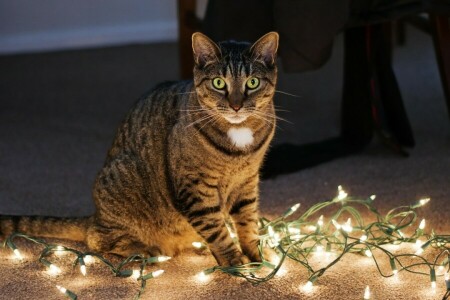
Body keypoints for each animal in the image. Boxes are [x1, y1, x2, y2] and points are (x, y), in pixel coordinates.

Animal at [0, 31, 280, 266]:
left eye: (252, 82)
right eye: (219, 83)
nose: (236, 105)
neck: (239, 143)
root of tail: (95, 215)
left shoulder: (247, 182)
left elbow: (247, 222)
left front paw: (256, 255)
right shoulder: (195, 188)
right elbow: (217, 230)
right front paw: (235, 262)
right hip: (121, 186)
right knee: (97, 239)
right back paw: (144, 249)